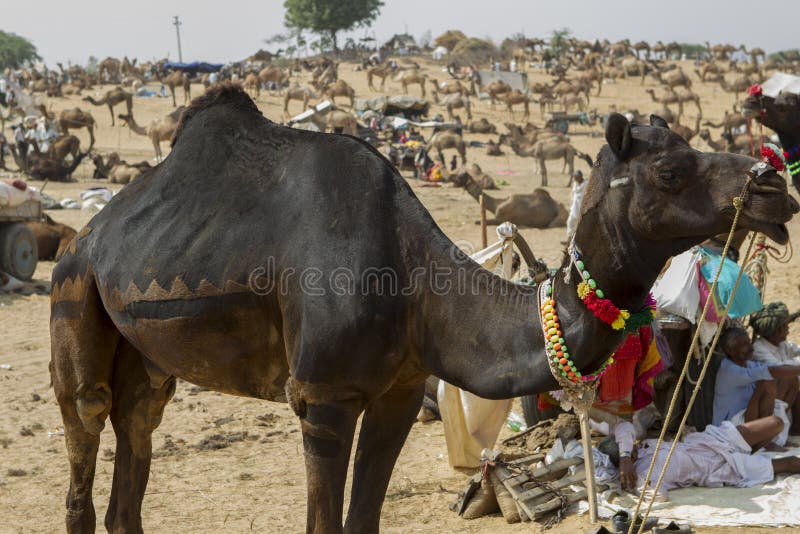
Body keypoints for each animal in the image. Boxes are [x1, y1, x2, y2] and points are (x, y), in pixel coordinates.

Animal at [49, 86, 798, 533]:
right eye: (671, 171)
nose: (773, 188)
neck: (413, 281)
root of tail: (85, 234)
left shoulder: (399, 392)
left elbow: (363, 520)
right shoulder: (322, 396)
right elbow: (325, 522)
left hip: (148, 358)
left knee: (136, 430)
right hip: (73, 291)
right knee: (86, 428)